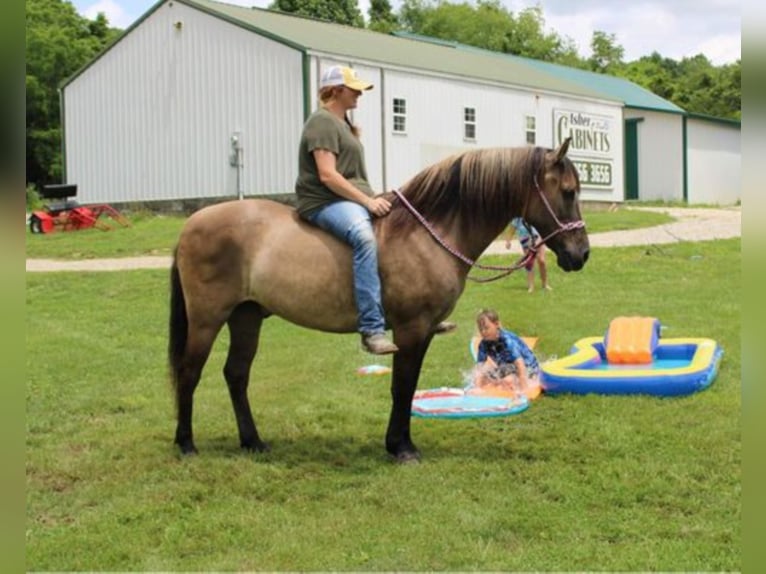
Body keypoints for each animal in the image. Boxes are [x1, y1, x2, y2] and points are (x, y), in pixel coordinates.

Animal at [166, 138, 588, 464]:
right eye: (568, 191)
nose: (581, 254)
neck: (426, 233)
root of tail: (190, 225)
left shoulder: (423, 332)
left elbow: (408, 385)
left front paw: (400, 442)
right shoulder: (410, 329)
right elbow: (401, 387)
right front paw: (401, 447)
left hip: (246, 316)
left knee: (236, 374)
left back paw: (252, 441)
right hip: (207, 319)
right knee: (189, 373)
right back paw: (186, 444)